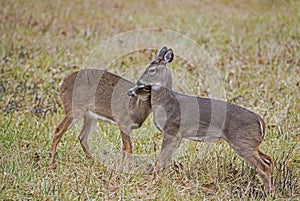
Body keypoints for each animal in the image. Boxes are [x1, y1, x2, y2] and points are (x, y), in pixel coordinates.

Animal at [127, 47, 274, 193]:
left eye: (152, 70)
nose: (138, 82)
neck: (165, 103)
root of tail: (261, 122)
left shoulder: (172, 129)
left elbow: (161, 159)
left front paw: (155, 181)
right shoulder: (177, 135)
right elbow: (167, 160)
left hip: (242, 141)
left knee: (264, 167)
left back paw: (268, 193)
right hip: (250, 143)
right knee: (268, 159)